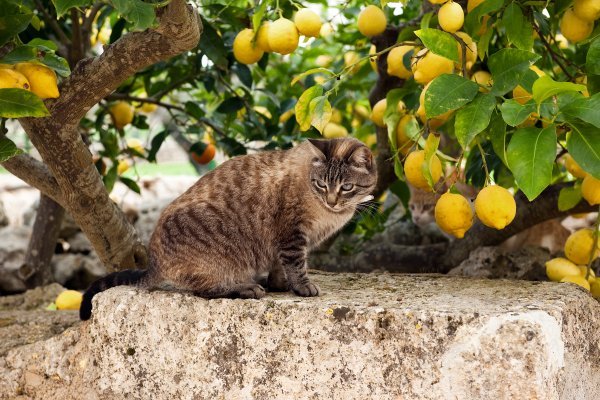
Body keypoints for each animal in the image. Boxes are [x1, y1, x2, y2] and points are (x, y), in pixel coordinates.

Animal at [80, 139, 378, 320]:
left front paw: (280, 285)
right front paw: (302, 287)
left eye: (346, 187)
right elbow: (295, 265)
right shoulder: (292, 234)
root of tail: (153, 265)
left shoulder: (284, 242)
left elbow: (279, 267)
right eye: (321, 184)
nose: (332, 200)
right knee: (205, 291)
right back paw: (246, 289)